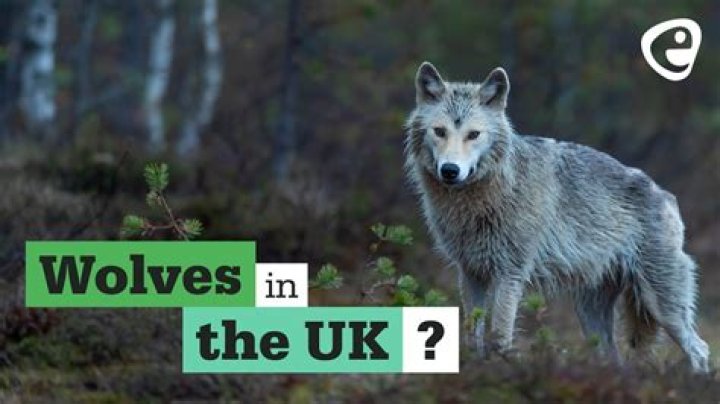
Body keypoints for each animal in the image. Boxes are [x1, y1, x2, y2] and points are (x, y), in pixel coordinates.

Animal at [404, 61, 710, 372]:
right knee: (615, 357)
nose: (450, 170)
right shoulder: (470, 273)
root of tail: (667, 195)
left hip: (662, 306)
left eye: (473, 134)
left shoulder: (509, 274)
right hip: (590, 313)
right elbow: (471, 335)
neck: (482, 198)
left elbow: (499, 337)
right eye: (439, 131)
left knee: (700, 349)